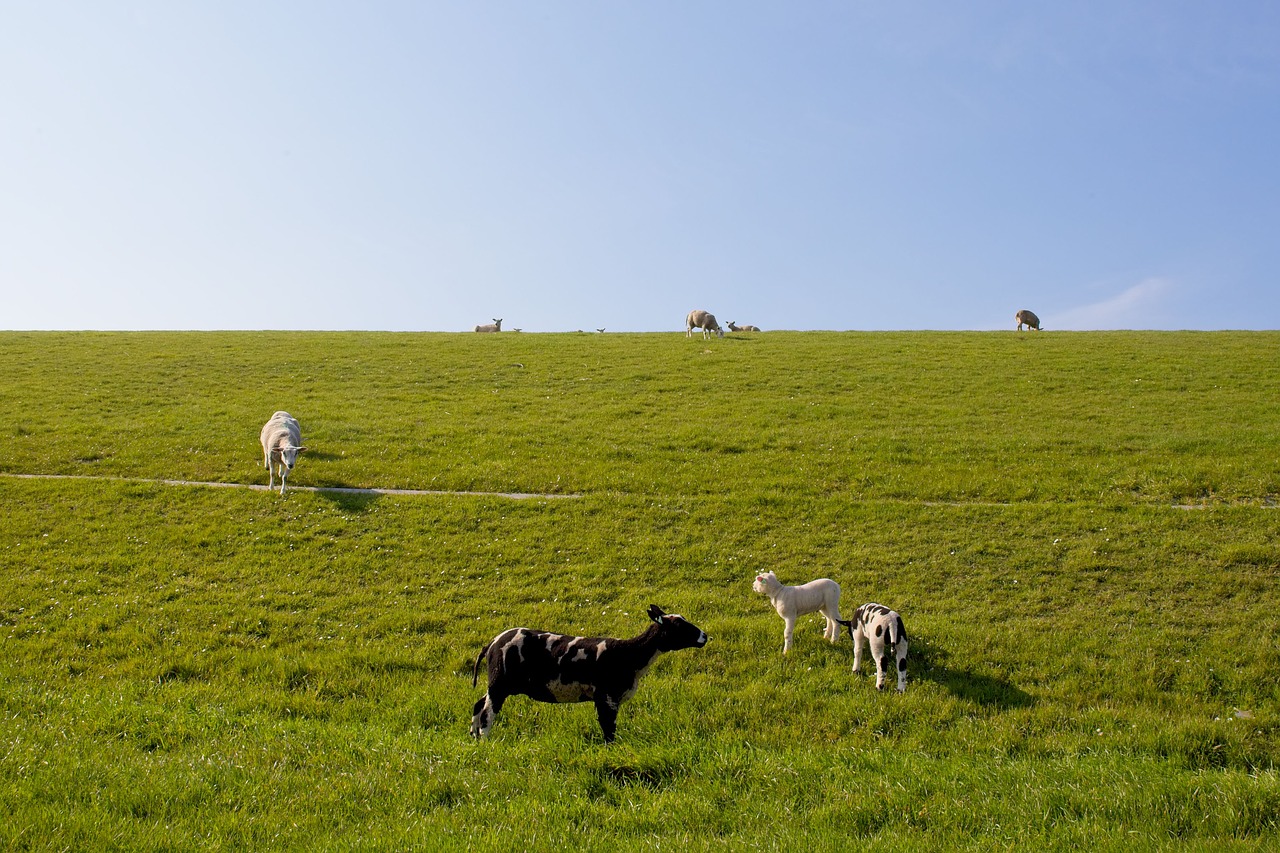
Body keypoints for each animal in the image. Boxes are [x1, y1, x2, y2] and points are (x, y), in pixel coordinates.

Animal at [471, 604, 711, 737]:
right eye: (679, 626)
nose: (704, 636)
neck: (630, 654)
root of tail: (491, 644)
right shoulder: (607, 697)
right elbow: (609, 730)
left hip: (497, 684)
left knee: (478, 706)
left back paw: (474, 739)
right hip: (499, 682)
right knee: (487, 715)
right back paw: (486, 742)